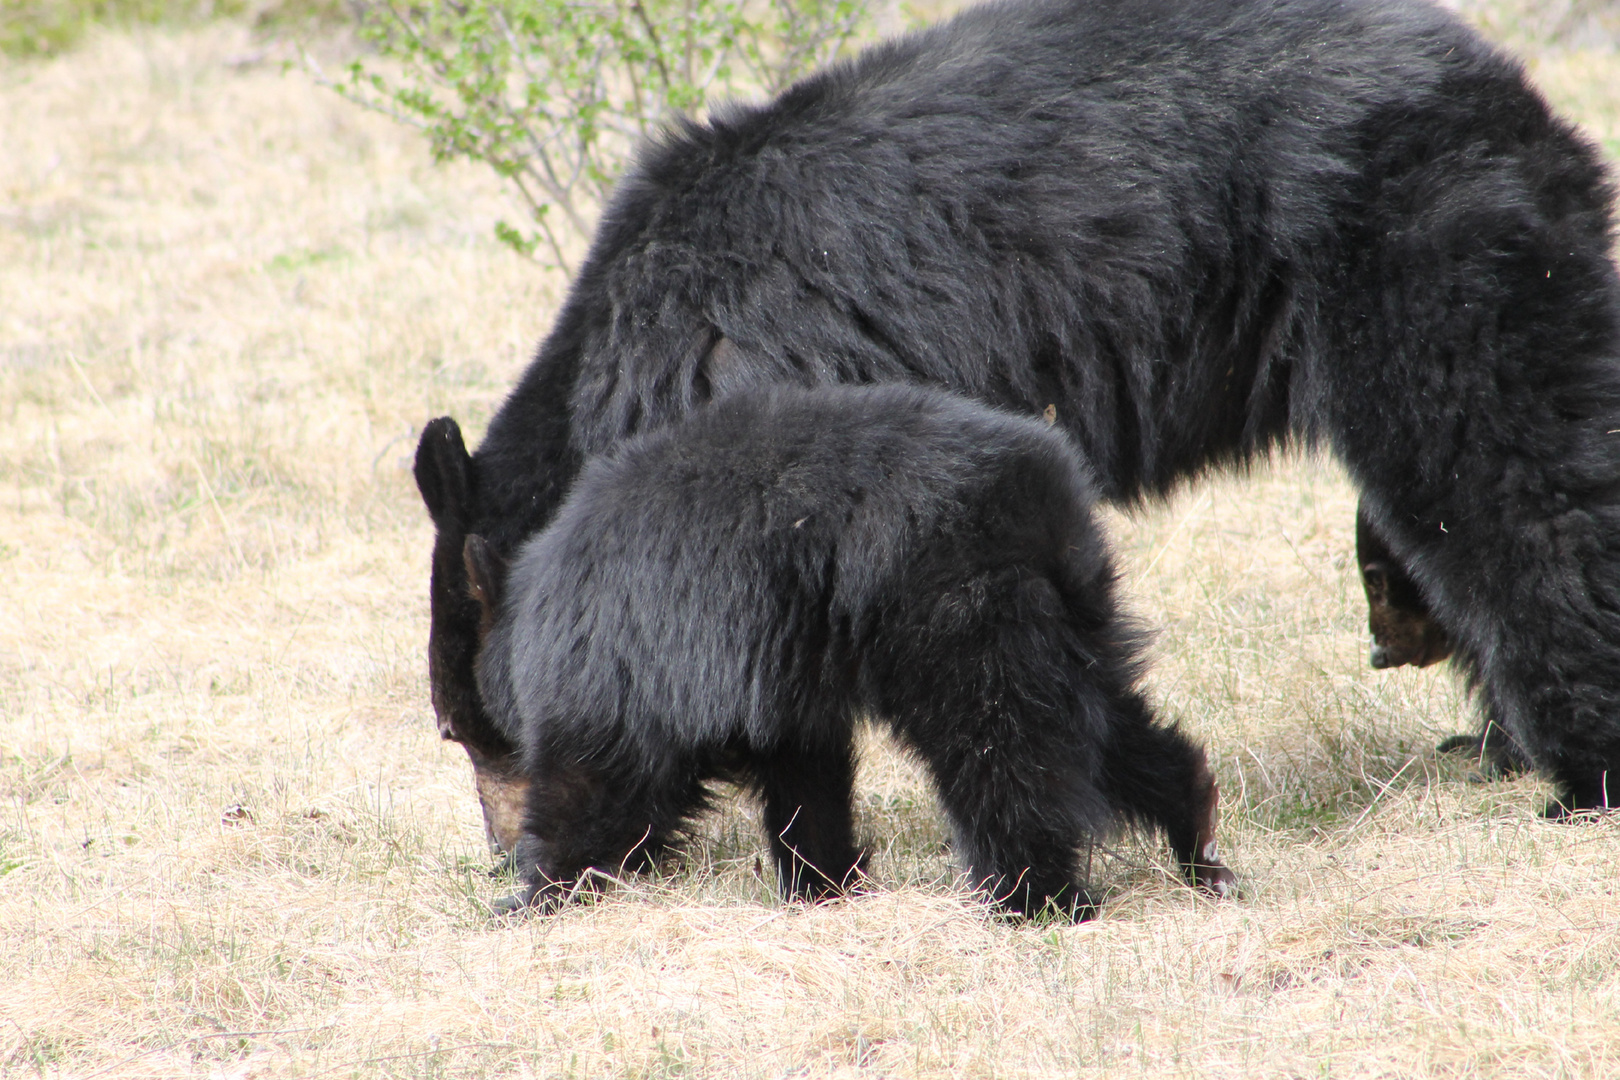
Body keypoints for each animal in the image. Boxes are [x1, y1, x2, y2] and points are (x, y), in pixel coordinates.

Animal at [414, 0, 1620, 829]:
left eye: (468, 732)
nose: (498, 849)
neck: (632, 369)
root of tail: (1501, 82)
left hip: (1410, 237)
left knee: (1507, 472)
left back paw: (1577, 767)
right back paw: (1492, 736)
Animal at [424, 383, 1231, 919]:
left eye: (455, 730)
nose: (495, 847)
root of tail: (1044, 492)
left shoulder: (629, 660)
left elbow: (601, 775)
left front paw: (531, 894)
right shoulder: (774, 671)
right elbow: (803, 772)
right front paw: (823, 881)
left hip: (953, 610)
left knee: (1001, 749)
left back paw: (1030, 898)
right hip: (1073, 614)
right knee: (1106, 726)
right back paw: (1195, 835)